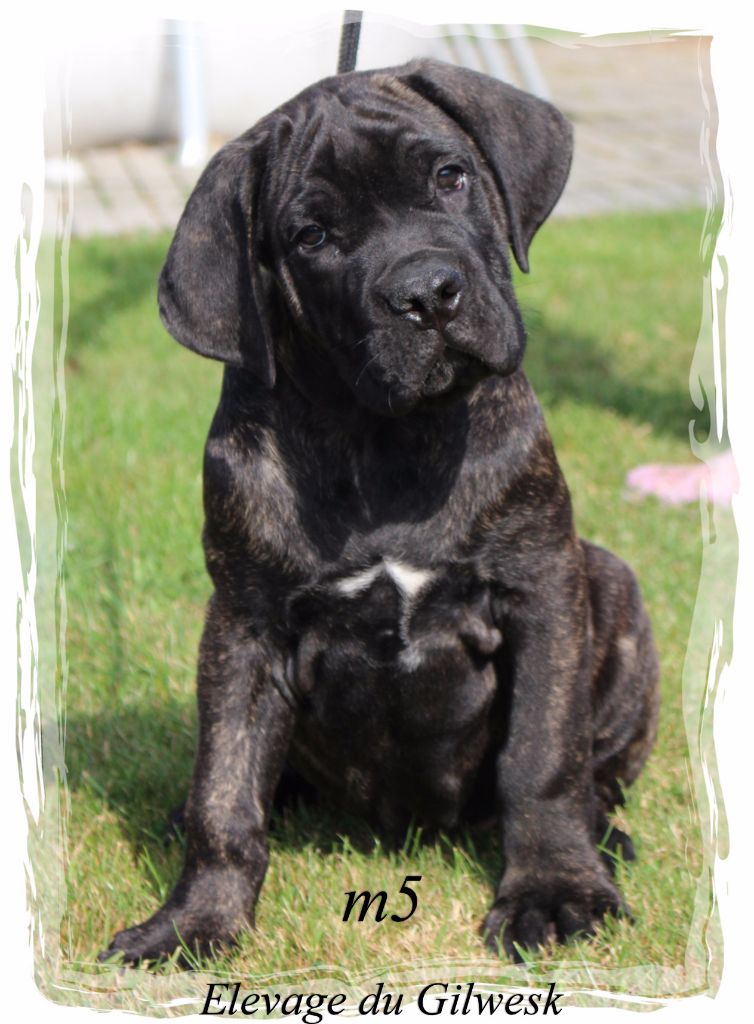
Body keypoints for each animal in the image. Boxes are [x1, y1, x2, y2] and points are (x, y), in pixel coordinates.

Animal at [100, 58, 659, 965]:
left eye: (450, 176)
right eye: (312, 238)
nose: (428, 294)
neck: (383, 435)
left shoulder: (540, 586)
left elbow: (543, 755)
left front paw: (556, 889)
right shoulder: (244, 626)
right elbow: (226, 792)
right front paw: (194, 922)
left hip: (609, 582)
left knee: (595, 771)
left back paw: (604, 838)